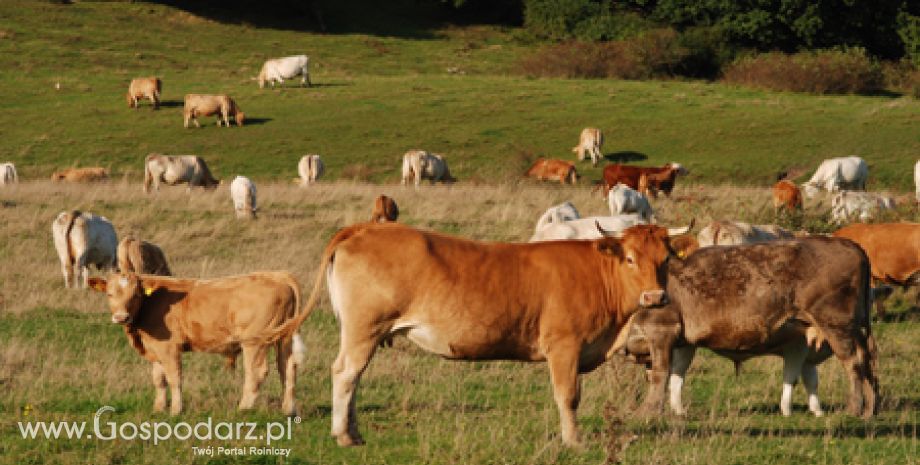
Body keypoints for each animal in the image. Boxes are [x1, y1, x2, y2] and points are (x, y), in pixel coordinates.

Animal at [86, 270, 304, 416]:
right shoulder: (155, 349)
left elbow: (174, 378)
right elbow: (158, 379)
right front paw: (158, 408)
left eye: (136, 294)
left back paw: (243, 408)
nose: (121, 317)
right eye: (109, 294)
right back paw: (288, 410)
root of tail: (276, 275)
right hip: (284, 338)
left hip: (254, 342)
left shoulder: (169, 348)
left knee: (256, 372)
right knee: (287, 369)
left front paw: (175, 410)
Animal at [252, 221, 688, 446]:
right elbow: (568, 397)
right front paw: (574, 442)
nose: (654, 296)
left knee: (353, 376)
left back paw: (354, 433)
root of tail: (363, 229)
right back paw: (342, 434)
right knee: (345, 373)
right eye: (629, 258)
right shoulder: (564, 347)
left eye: (665, 259)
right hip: (364, 329)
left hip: (361, 331)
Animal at [620, 237, 876, 418]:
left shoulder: (662, 330)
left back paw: (855, 408)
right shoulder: (679, 342)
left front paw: (648, 411)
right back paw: (870, 408)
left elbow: (660, 374)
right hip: (854, 328)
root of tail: (850, 244)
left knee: (853, 362)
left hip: (837, 325)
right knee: (868, 360)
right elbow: (671, 376)